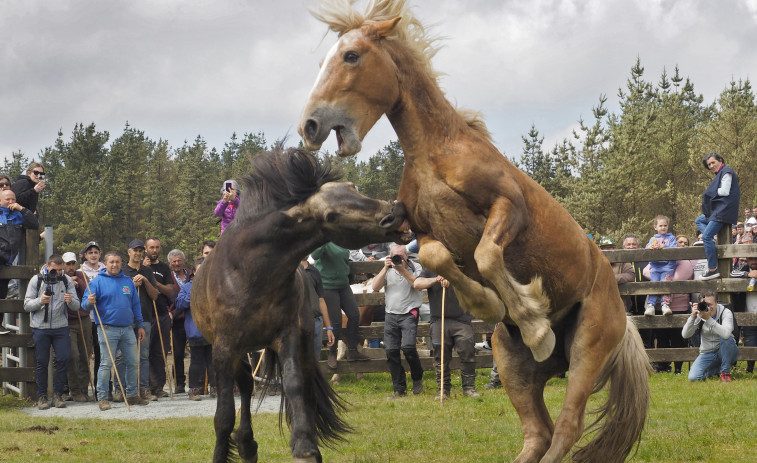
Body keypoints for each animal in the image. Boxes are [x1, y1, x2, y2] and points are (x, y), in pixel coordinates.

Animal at [192, 146, 410, 463]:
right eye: (330, 215)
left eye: (353, 188)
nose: (394, 214)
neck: (249, 272)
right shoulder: (224, 349)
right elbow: (223, 414)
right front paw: (222, 453)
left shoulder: (289, 336)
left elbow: (294, 384)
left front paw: (305, 447)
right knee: (244, 386)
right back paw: (245, 444)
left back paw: (248, 444)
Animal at [298, 1, 652, 462]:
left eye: (352, 55)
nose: (309, 125)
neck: (435, 154)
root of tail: (623, 314)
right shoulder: (423, 231)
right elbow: (440, 258)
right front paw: (488, 302)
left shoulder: (508, 208)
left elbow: (486, 254)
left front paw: (534, 323)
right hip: (512, 362)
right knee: (538, 431)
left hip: (588, 347)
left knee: (566, 427)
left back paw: (543, 338)